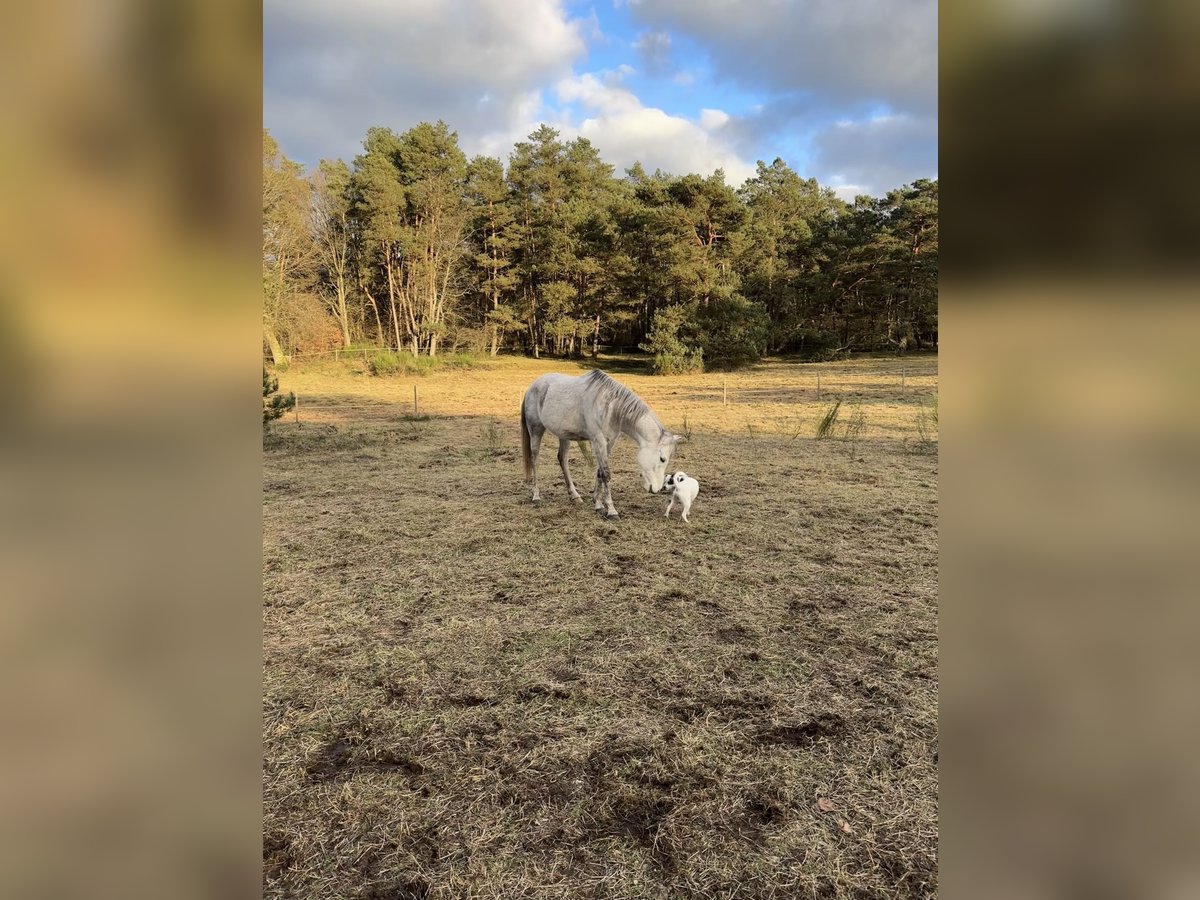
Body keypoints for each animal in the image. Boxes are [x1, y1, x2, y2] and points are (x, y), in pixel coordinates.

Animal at [518, 367, 686, 520]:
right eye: (662, 459)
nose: (657, 489)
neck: (610, 408)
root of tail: (531, 388)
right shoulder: (598, 441)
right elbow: (606, 474)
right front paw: (611, 511)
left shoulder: (609, 443)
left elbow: (599, 471)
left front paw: (598, 504)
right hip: (536, 429)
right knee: (534, 460)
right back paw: (536, 496)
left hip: (564, 435)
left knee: (563, 459)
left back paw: (574, 495)